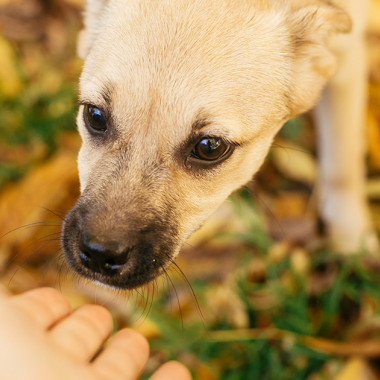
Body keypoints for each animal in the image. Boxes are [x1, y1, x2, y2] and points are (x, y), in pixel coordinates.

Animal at [61, 0, 374, 288]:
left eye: (209, 147)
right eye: (94, 115)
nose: (99, 254)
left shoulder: (348, 63)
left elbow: (342, 163)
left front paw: (350, 236)